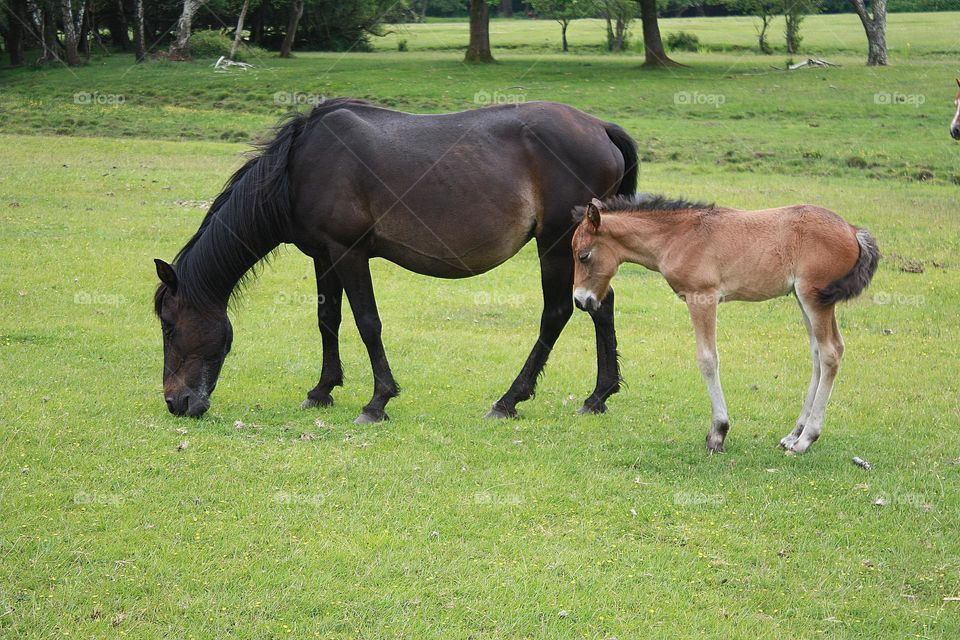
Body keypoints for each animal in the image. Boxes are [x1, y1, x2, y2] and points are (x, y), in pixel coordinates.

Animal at [153, 98, 637, 423]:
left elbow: (368, 322)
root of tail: (600, 127)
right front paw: (322, 390)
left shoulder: (349, 253)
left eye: (169, 326)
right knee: (599, 306)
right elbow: (328, 319)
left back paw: (509, 399)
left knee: (556, 314)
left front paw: (377, 400)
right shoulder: (323, 255)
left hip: (554, 244)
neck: (298, 167)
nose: (176, 403)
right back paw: (598, 396)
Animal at [571, 195, 879, 454]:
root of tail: (853, 230)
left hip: (815, 299)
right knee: (817, 354)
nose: (580, 301)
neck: (679, 236)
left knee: (830, 353)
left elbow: (708, 359)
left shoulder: (703, 298)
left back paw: (806, 440)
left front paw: (718, 433)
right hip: (805, 299)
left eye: (583, 255)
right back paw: (794, 434)